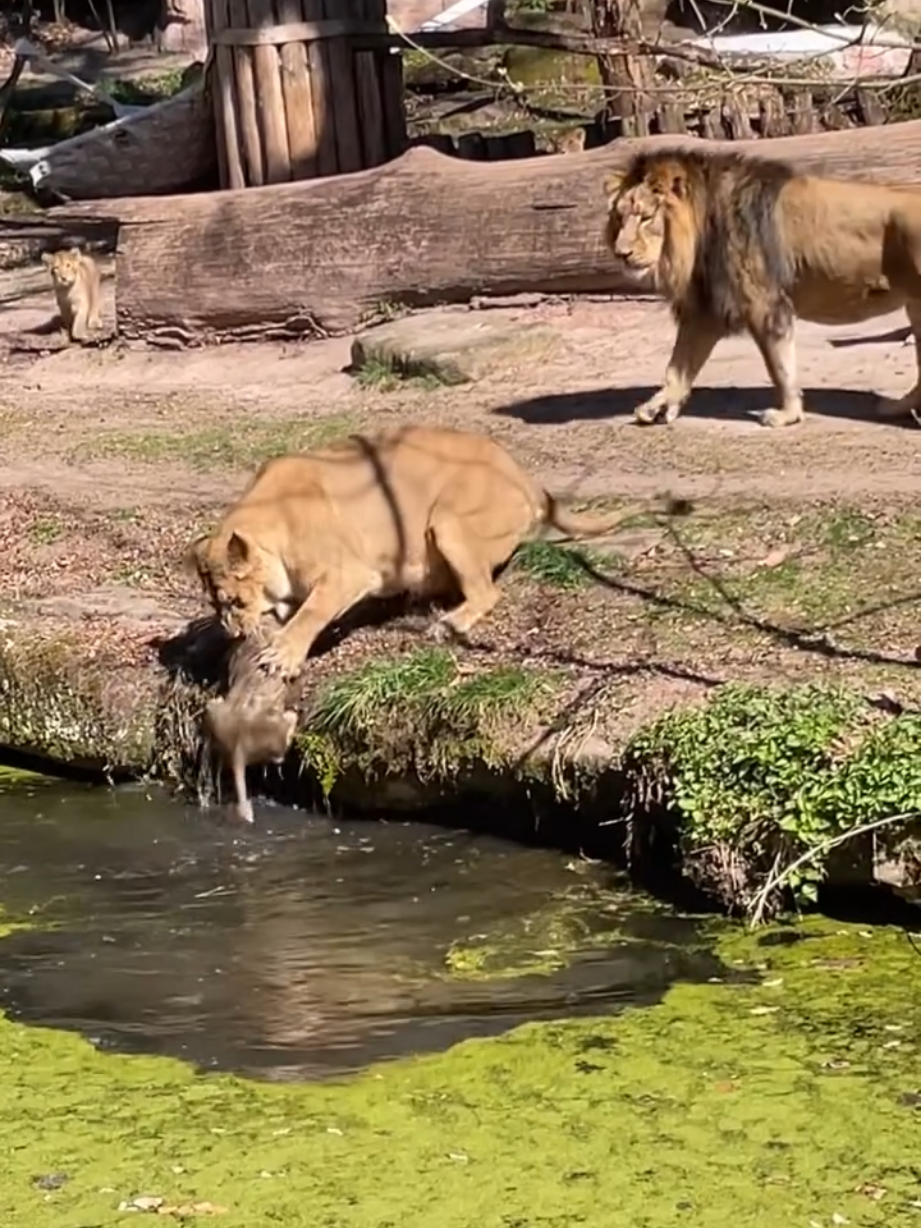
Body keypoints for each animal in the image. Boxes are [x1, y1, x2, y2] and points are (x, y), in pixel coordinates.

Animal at [187, 425, 691, 681]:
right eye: (217, 605)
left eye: (234, 601)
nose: (232, 632)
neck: (270, 523)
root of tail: (525, 477)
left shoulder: (350, 574)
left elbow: (311, 612)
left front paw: (283, 654)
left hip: (448, 521)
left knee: (487, 593)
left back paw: (449, 624)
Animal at [603, 146, 921, 428]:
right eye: (619, 217)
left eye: (646, 217)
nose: (621, 253)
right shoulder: (707, 309)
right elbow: (678, 365)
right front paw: (659, 405)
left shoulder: (762, 304)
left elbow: (779, 366)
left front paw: (787, 415)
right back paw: (900, 407)